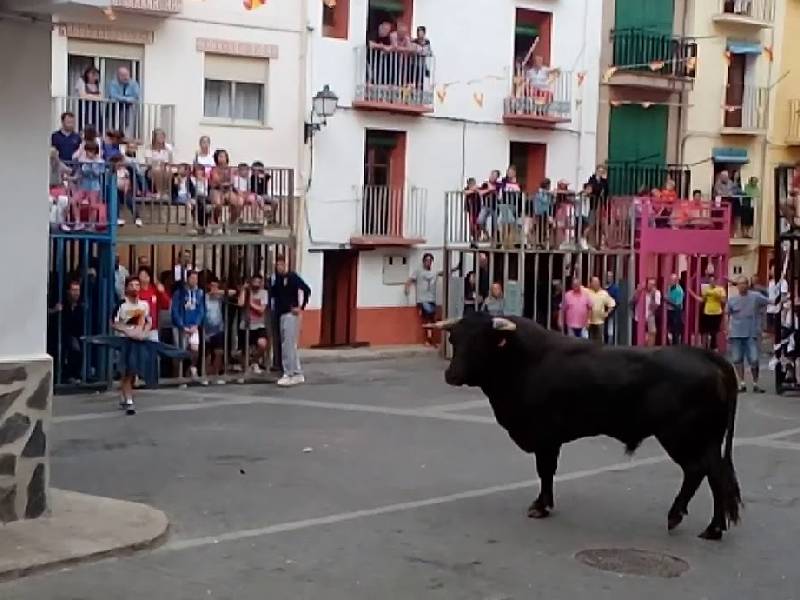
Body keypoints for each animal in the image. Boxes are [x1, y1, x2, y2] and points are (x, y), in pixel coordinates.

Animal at [432, 312, 744, 540]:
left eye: (480, 341)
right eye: (455, 339)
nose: (451, 374)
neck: (524, 360)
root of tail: (706, 356)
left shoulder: (545, 435)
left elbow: (545, 470)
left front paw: (541, 506)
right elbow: (547, 471)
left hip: (684, 437)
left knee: (702, 473)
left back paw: (696, 522)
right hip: (706, 441)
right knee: (713, 475)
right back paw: (708, 524)